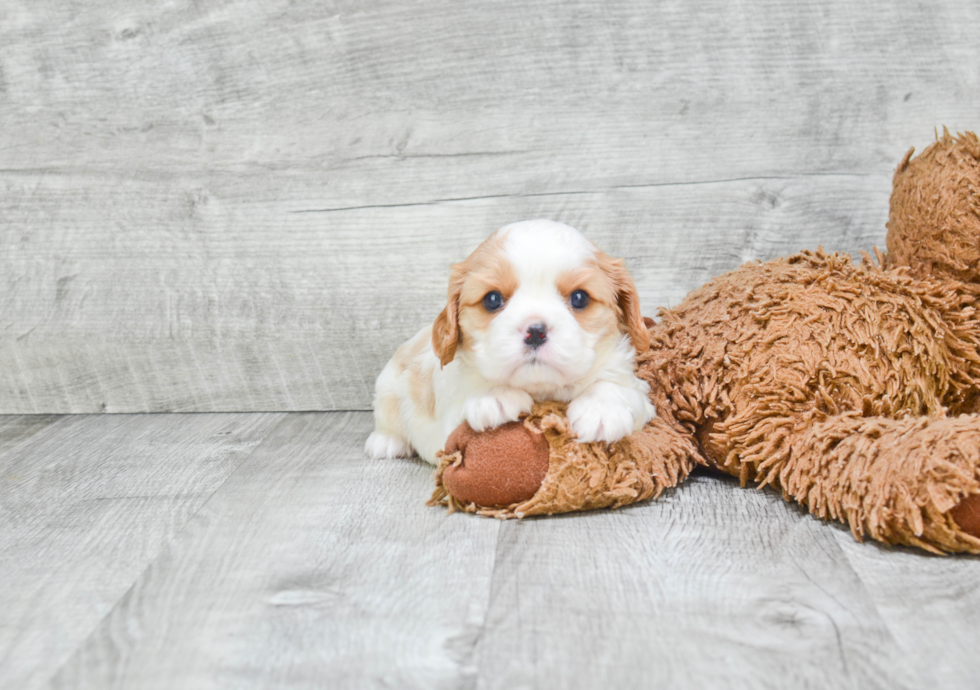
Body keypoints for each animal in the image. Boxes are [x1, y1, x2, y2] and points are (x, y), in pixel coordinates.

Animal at [364, 216, 656, 462]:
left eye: (580, 297)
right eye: (492, 299)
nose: (536, 331)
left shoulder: (639, 394)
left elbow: (616, 387)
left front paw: (602, 409)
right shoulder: (446, 426)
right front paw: (494, 396)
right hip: (386, 388)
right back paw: (387, 442)